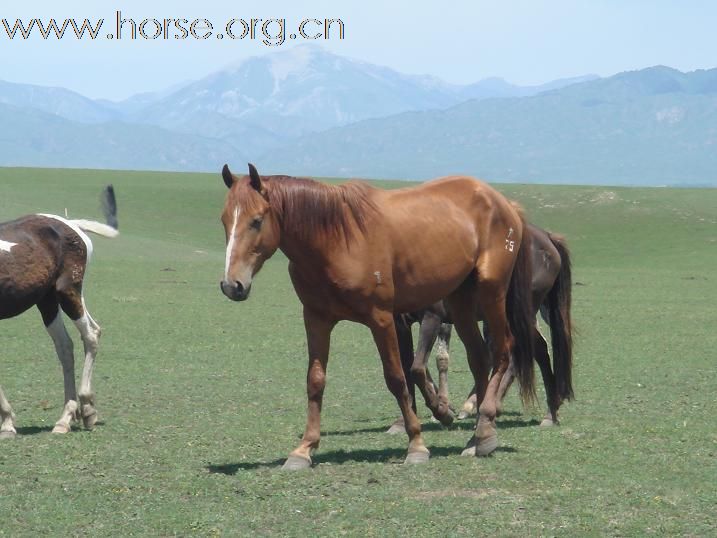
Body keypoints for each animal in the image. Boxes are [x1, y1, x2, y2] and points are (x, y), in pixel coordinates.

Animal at [0, 187, 119, 436]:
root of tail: (72, 225)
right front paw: (7, 423)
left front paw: (7, 423)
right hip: (48, 302)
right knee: (66, 346)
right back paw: (67, 417)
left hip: (67, 293)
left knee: (90, 335)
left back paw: (86, 410)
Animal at [221, 162, 536, 464]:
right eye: (224, 220)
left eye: (256, 220)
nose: (231, 285)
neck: (336, 240)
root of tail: (504, 203)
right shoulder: (316, 318)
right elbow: (315, 380)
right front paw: (304, 449)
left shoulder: (382, 319)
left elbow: (397, 377)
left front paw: (416, 444)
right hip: (460, 301)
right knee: (479, 358)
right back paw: (479, 435)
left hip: (491, 292)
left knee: (503, 351)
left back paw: (485, 425)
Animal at [388, 224, 572, 430]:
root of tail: (546, 237)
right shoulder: (400, 324)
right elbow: (406, 368)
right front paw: (403, 421)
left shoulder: (432, 317)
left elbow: (418, 368)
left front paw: (443, 413)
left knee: (532, 351)